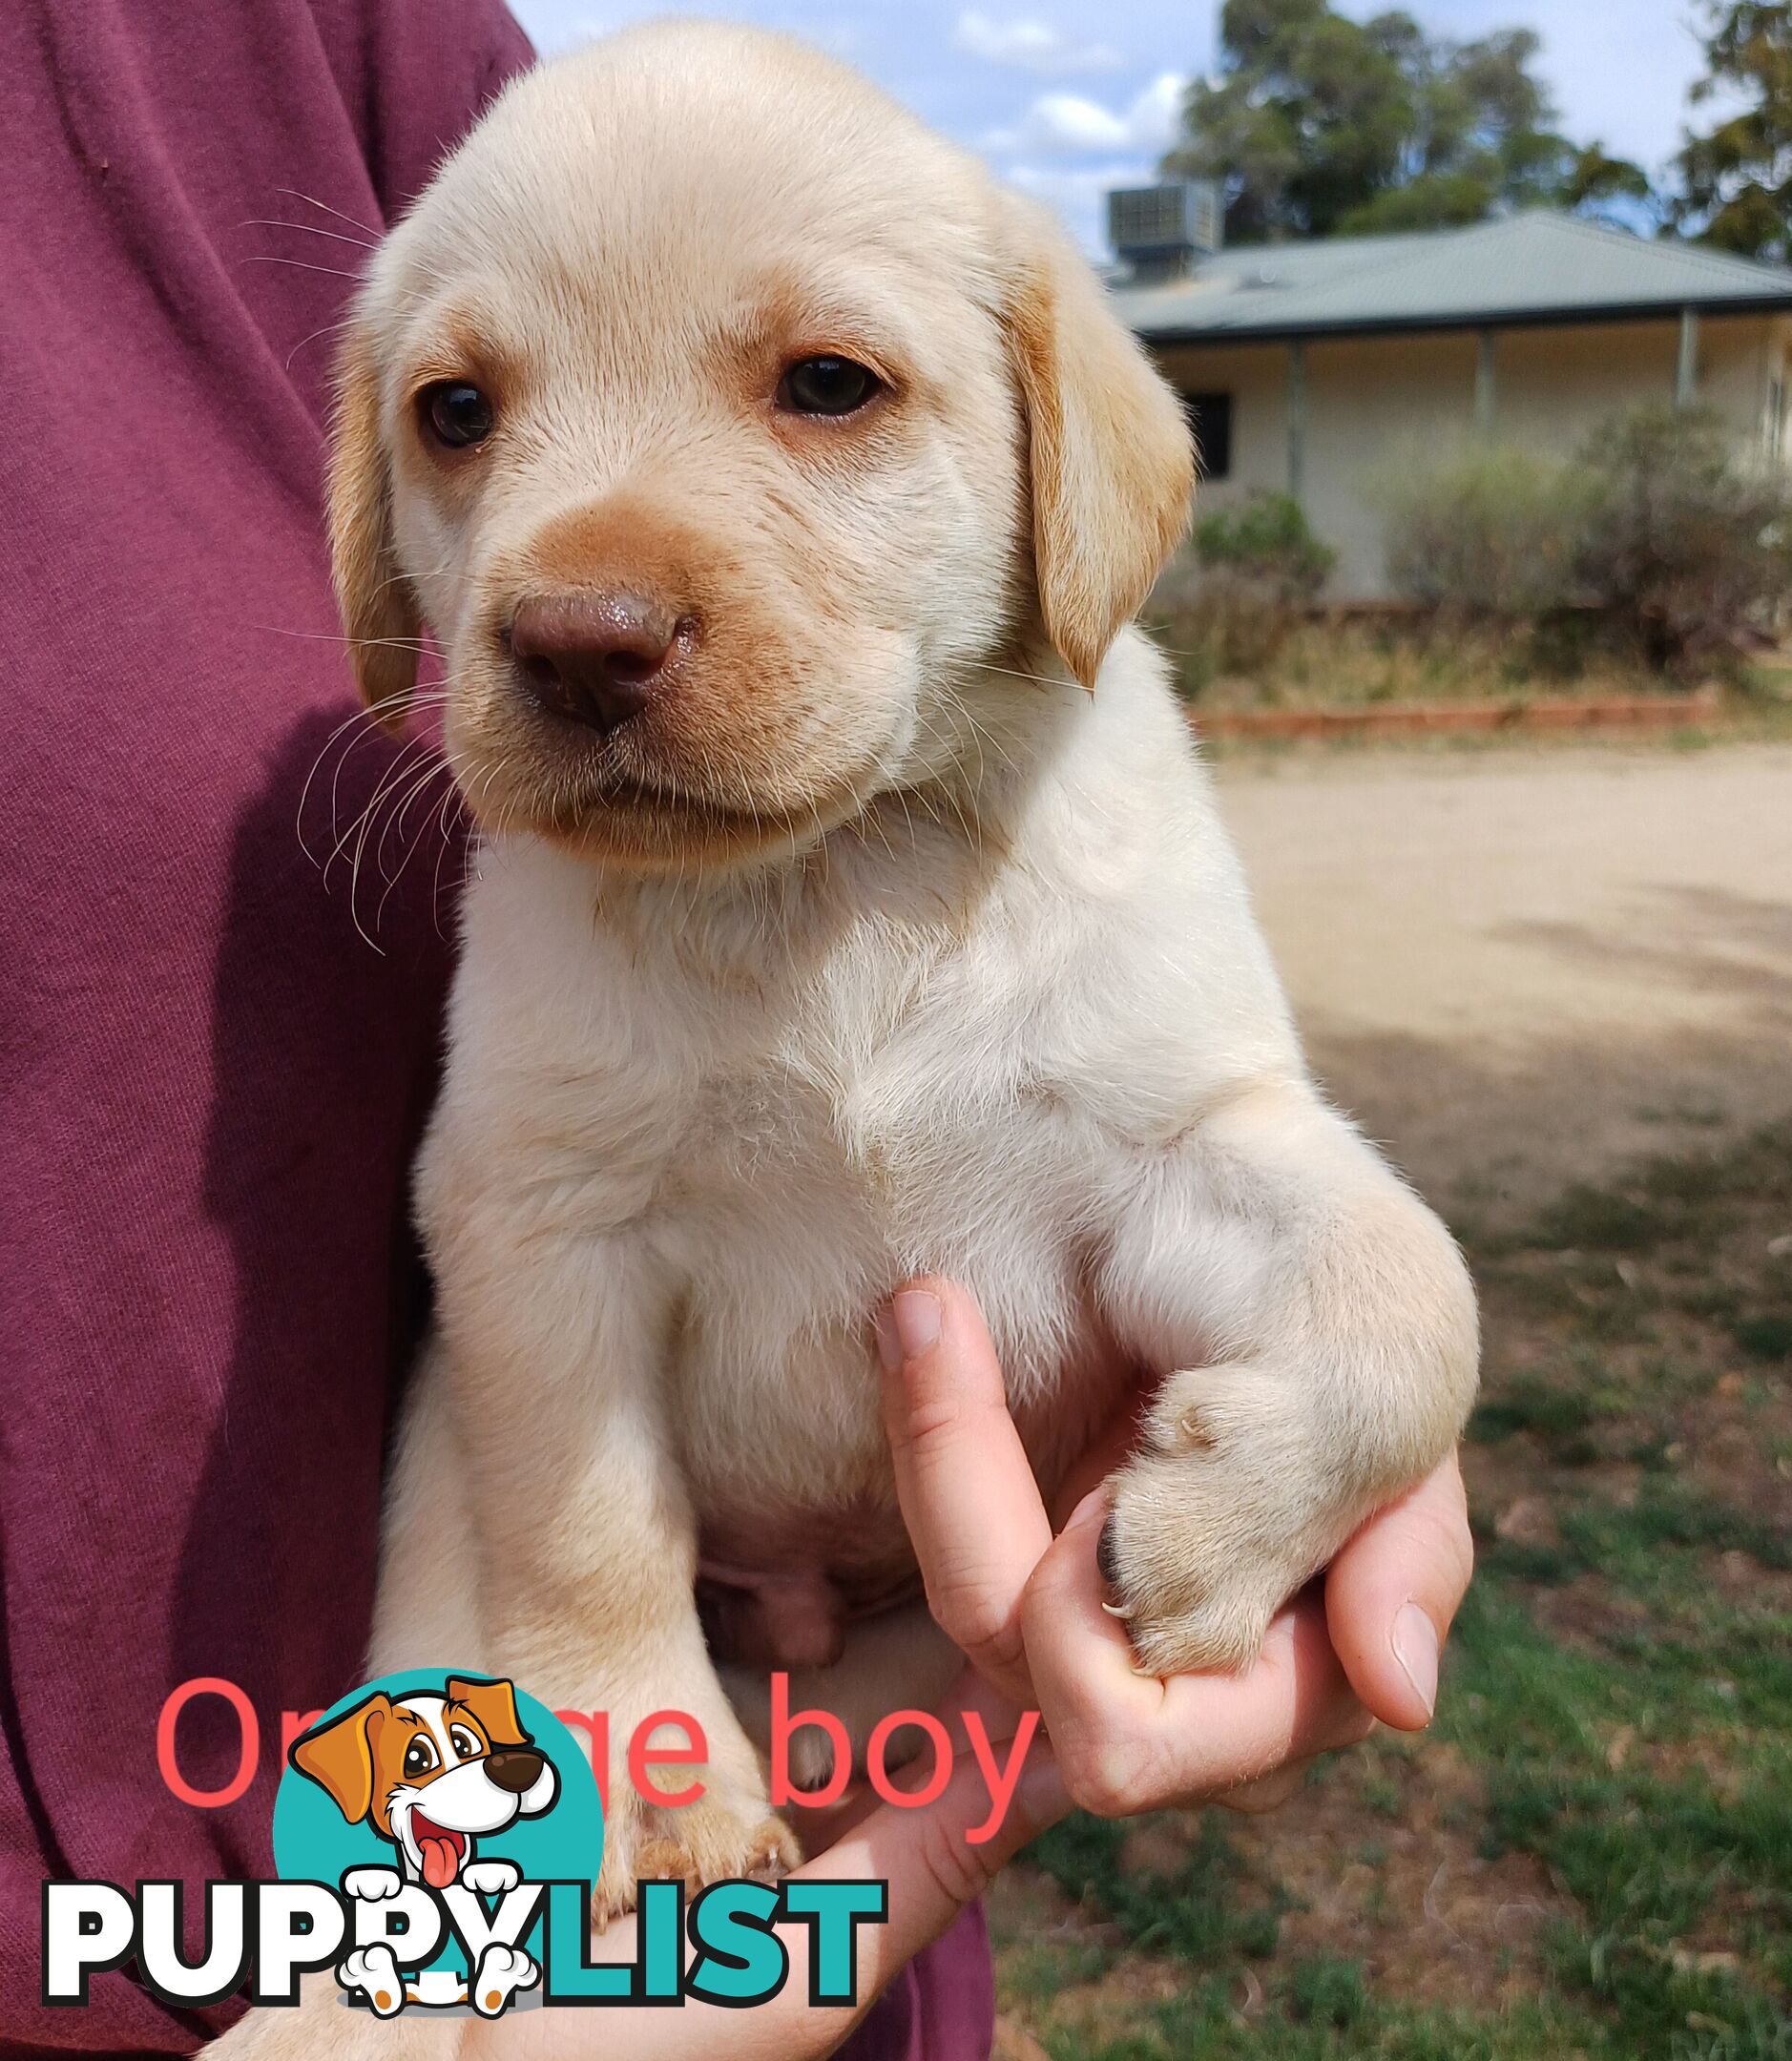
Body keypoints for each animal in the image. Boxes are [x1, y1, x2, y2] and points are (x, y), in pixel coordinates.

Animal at [317, 20, 1468, 1946]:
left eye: (829, 385)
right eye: (454, 413)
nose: (575, 645)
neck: (827, 884)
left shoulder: (1178, 1133)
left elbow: (1414, 1301)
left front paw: (1215, 1527)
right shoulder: (536, 1227)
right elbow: (587, 1529)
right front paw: (654, 1779)